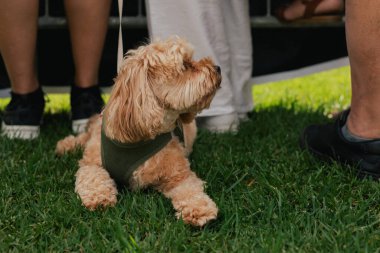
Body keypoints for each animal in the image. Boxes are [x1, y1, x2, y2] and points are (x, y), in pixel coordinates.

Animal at [56, 37, 223, 227]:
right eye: (185, 65)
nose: (218, 68)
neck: (140, 138)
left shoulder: (179, 176)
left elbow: (191, 190)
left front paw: (200, 209)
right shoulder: (92, 163)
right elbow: (93, 176)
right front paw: (98, 197)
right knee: (85, 136)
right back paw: (66, 145)